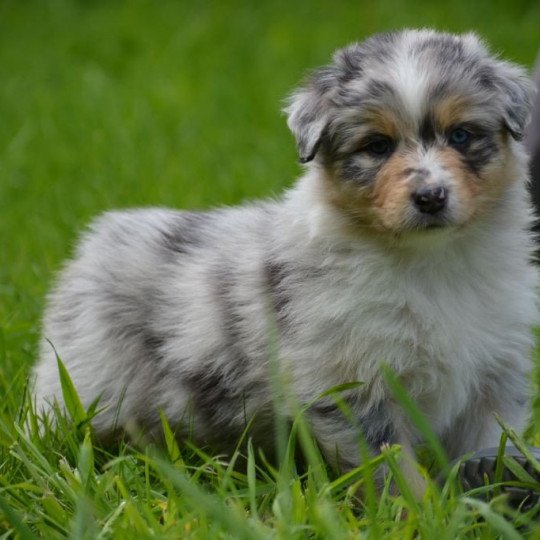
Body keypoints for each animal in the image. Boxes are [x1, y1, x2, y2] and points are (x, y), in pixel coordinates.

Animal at [33, 29, 536, 492]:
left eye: (462, 135)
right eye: (377, 146)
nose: (430, 197)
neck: (431, 261)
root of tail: (94, 244)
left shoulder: (495, 370)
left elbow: (487, 441)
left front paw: (485, 488)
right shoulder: (349, 381)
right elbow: (391, 466)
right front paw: (418, 510)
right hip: (86, 381)